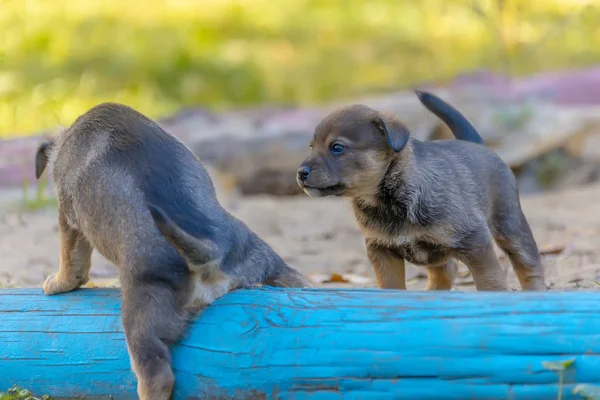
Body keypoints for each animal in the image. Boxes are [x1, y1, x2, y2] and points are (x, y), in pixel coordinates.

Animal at [35, 102, 310, 400]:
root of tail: (210, 253)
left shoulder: (69, 219)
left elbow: (70, 262)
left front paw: (56, 283)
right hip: (271, 264)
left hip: (142, 323)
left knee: (156, 377)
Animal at [298, 90, 548, 290]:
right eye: (311, 147)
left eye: (337, 148)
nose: (301, 173)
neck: (391, 198)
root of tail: (477, 144)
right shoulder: (382, 251)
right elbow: (392, 289)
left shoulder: (474, 241)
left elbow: (491, 281)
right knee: (445, 272)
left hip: (509, 225)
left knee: (529, 265)